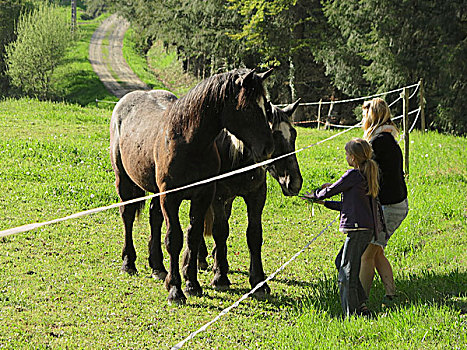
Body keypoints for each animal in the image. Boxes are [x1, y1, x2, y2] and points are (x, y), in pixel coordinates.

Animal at [110, 67, 276, 304]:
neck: (188, 143)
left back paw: (158, 267)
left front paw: (191, 284)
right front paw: (175, 290)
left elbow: (194, 236)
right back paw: (128, 263)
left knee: (154, 217)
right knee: (128, 215)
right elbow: (174, 239)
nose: (268, 148)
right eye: (248, 107)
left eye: (267, 106)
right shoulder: (170, 197)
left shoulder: (203, 196)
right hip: (124, 181)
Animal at [195, 98, 302, 296]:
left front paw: (259, 281)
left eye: (294, 135)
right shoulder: (218, 198)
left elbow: (254, 234)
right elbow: (220, 231)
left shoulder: (256, 197)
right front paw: (220, 278)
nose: (295, 183)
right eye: (274, 136)